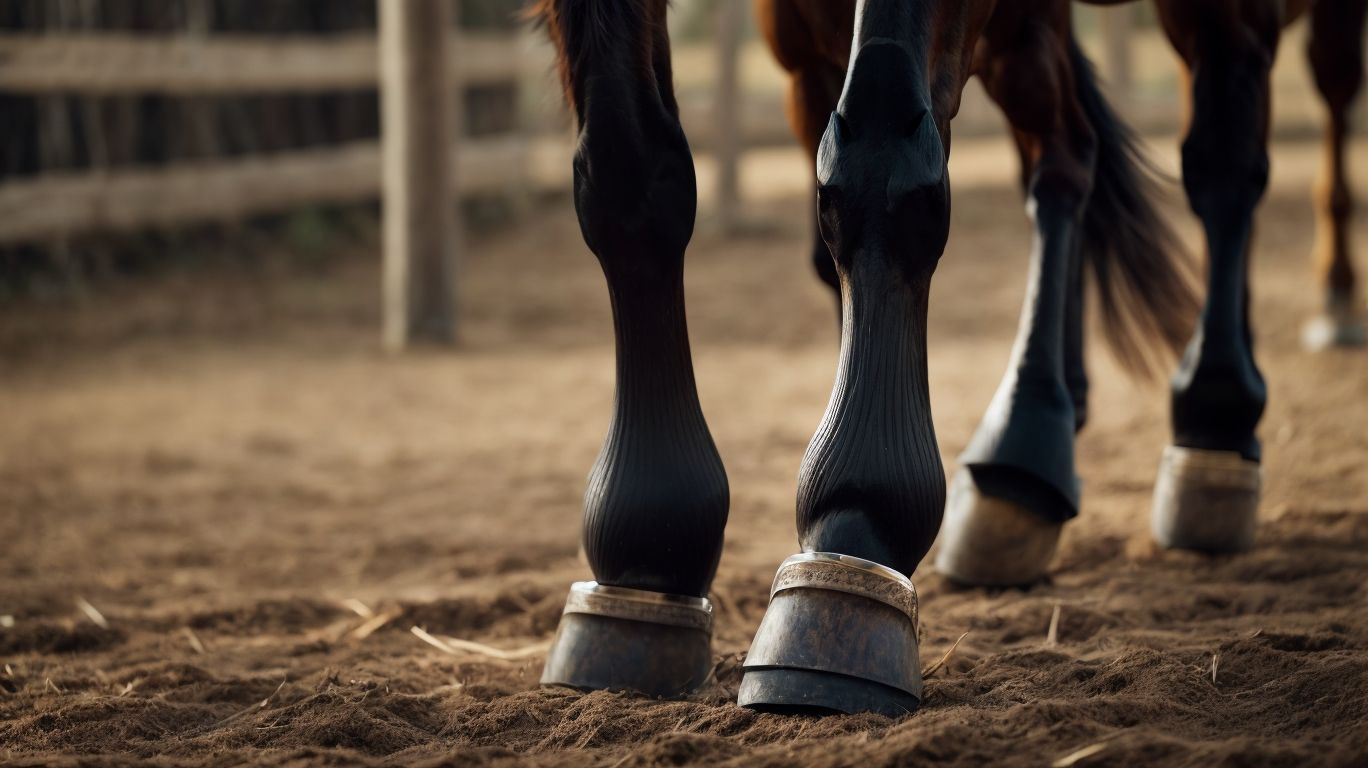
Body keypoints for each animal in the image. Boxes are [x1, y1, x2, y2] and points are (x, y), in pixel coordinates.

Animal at [529, 0, 1366, 717]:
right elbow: (629, 172)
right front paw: (647, 545)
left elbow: (880, 152)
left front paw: (856, 523)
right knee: (1067, 148)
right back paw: (1043, 436)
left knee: (1219, 140)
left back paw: (1214, 409)